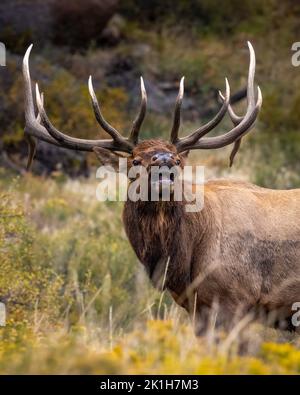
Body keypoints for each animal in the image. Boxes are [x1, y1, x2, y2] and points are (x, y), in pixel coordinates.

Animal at [22, 42, 300, 334]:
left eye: (178, 159)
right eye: (134, 161)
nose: (164, 162)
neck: (182, 264)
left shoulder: (236, 298)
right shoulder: (198, 308)